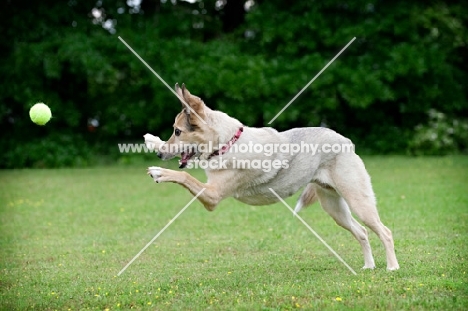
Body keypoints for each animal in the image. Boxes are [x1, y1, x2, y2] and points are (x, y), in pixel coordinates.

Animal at [144, 84, 400, 272]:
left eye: (178, 131)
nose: (160, 155)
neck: (227, 142)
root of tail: (344, 140)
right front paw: (152, 141)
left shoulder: (212, 196)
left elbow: (184, 174)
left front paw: (160, 171)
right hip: (335, 209)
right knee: (362, 232)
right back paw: (368, 266)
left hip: (359, 202)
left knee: (385, 231)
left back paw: (392, 267)